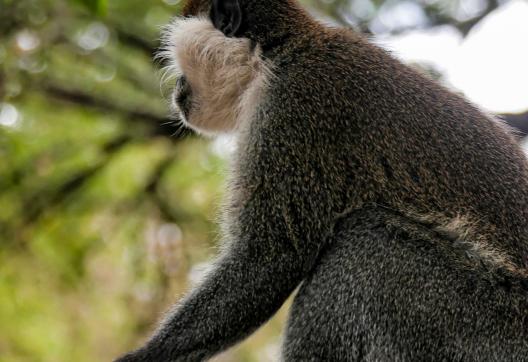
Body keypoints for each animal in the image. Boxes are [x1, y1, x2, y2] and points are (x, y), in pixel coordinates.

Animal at [117, 0, 528, 360]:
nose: (177, 90)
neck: (284, 52)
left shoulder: (293, 106)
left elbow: (272, 256)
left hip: (485, 326)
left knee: (366, 243)